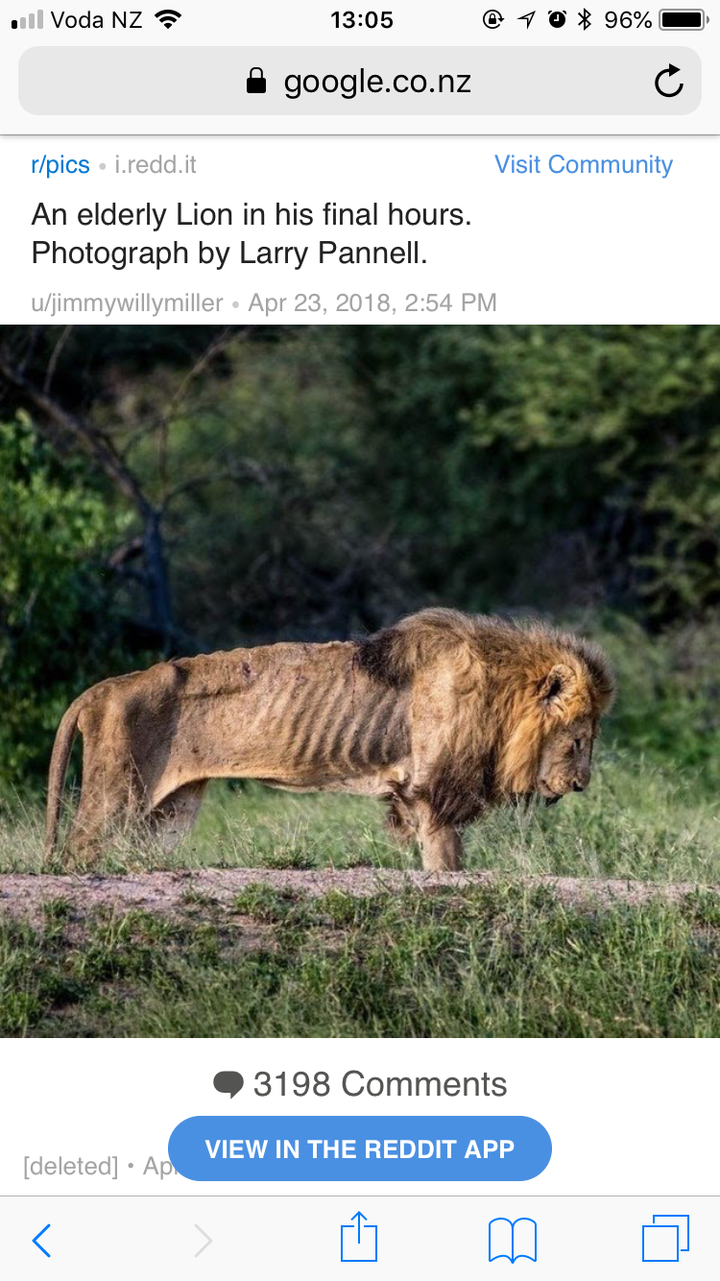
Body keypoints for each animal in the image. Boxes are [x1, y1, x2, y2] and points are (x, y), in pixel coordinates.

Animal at [47, 609, 614, 871]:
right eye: (579, 741)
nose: (582, 785)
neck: (500, 694)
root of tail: (101, 689)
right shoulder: (433, 793)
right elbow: (446, 863)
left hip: (167, 812)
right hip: (115, 797)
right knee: (77, 853)